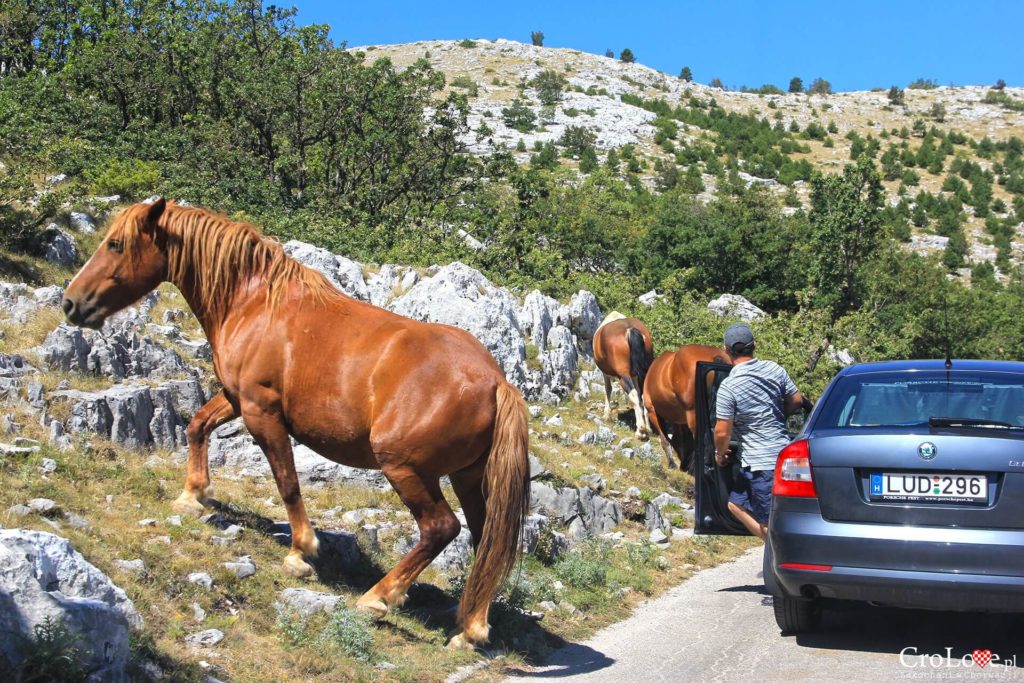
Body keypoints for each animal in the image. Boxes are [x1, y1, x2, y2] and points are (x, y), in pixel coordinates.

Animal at [58, 198, 528, 651]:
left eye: (116, 244)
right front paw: (193, 496)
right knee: (485, 540)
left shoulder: (261, 412)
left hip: (406, 470)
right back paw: (470, 628)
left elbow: (287, 482)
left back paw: (378, 598)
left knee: (440, 529)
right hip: (467, 476)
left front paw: (301, 552)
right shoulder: (237, 399)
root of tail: (496, 381)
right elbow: (197, 426)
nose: (70, 303)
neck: (254, 302)